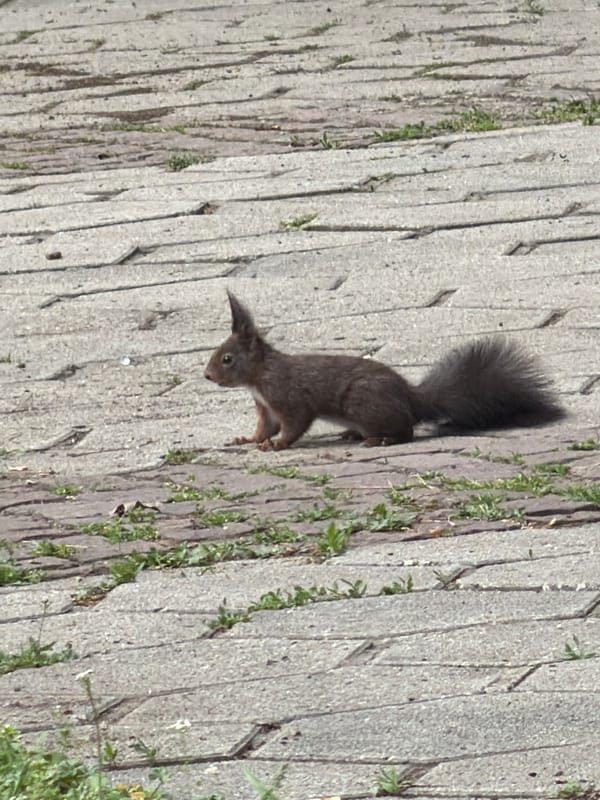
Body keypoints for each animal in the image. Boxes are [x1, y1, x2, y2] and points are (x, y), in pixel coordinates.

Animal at [204, 290, 565, 451]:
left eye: (227, 359)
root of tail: (413, 400)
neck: (260, 376)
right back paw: (352, 434)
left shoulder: (288, 397)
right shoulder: (266, 407)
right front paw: (248, 439)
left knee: (407, 430)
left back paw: (381, 439)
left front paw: (277, 445)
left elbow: (294, 425)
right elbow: (265, 427)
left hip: (363, 404)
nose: (207, 376)